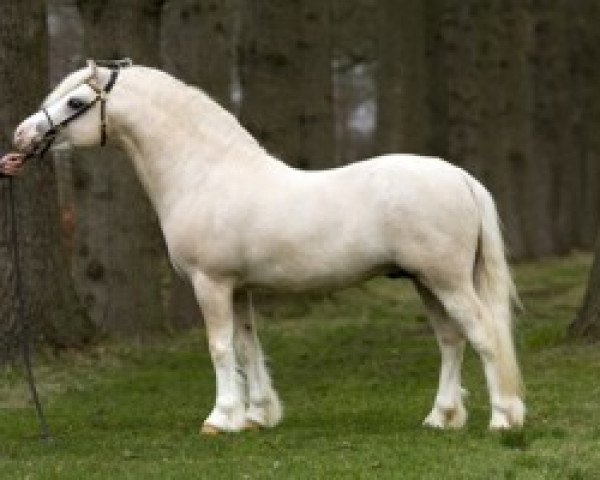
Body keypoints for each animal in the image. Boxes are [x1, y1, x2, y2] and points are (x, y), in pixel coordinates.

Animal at [14, 62, 524, 434]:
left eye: (75, 101)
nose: (21, 136)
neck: (206, 173)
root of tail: (459, 176)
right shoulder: (238, 287)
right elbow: (247, 345)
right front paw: (258, 414)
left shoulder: (211, 282)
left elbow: (220, 347)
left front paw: (221, 418)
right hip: (424, 282)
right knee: (451, 340)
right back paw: (441, 417)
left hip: (447, 279)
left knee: (483, 334)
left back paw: (502, 419)